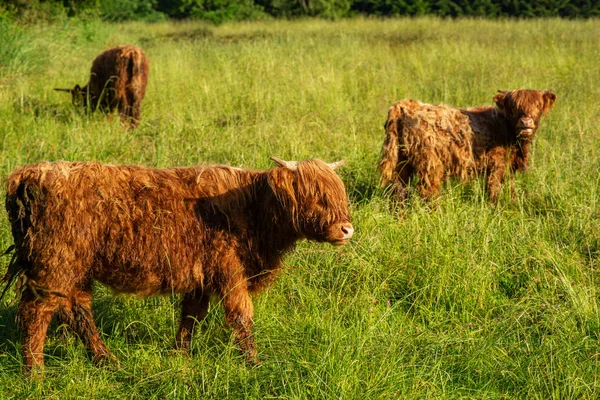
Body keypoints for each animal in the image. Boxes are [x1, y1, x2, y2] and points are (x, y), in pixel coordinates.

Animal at [2, 158, 354, 370]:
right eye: (316, 196)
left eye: (340, 195)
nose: (347, 229)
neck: (254, 209)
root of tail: (28, 175)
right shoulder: (229, 271)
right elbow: (241, 316)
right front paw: (253, 363)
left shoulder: (202, 276)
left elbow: (192, 316)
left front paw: (179, 353)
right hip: (54, 264)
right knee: (37, 312)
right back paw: (35, 372)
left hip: (74, 268)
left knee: (77, 310)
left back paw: (106, 360)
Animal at [380, 89, 556, 203]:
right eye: (513, 107)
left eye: (538, 106)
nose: (526, 122)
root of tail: (405, 105)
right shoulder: (496, 165)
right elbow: (494, 190)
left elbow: (510, 189)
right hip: (430, 163)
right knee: (427, 191)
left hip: (401, 161)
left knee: (397, 190)